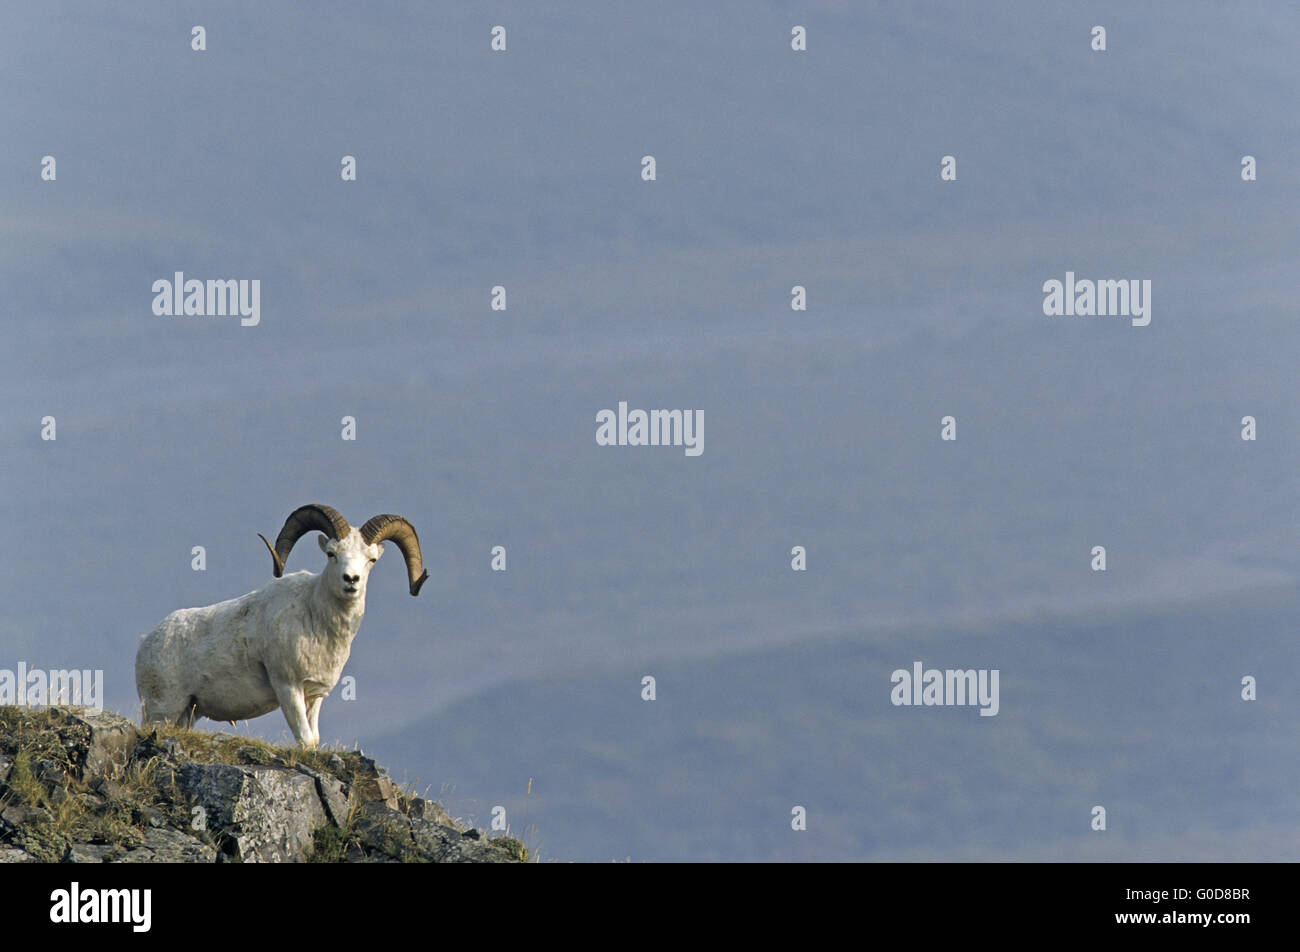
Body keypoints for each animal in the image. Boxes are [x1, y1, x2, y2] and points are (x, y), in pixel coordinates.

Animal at [135, 504, 428, 748]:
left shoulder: (314, 696)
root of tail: (147, 642)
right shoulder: (288, 687)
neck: (315, 618)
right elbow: (306, 739)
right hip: (162, 710)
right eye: (332, 554)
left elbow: (314, 738)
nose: (351, 580)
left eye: (371, 560)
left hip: (187, 713)